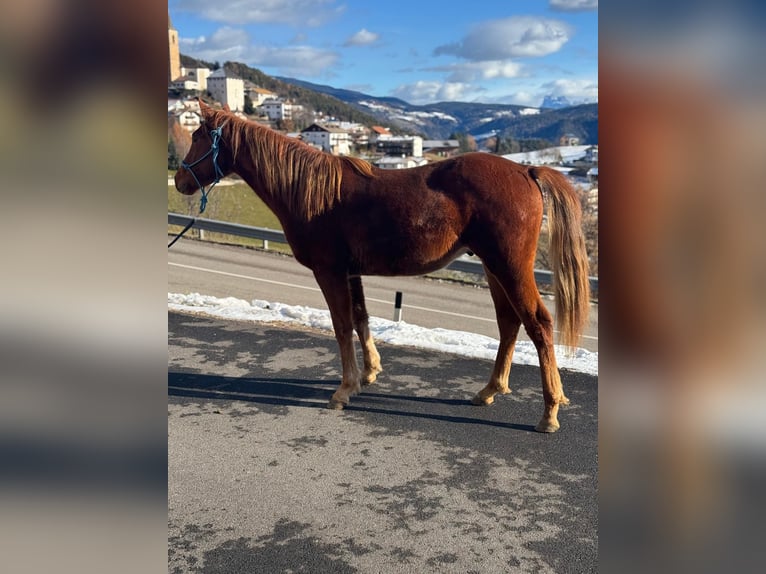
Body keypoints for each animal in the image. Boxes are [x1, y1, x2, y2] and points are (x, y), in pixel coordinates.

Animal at [176, 100, 592, 432]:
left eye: (198, 136)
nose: (179, 180)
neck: (311, 191)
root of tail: (526, 171)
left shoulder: (329, 272)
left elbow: (342, 326)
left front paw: (344, 389)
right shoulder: (350, 272)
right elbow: (361, 319)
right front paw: (369, 373)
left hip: (509, 267)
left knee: (538, 324)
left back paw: (549, 411)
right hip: (493, 268)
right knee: (508, 323)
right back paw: (490, 390)